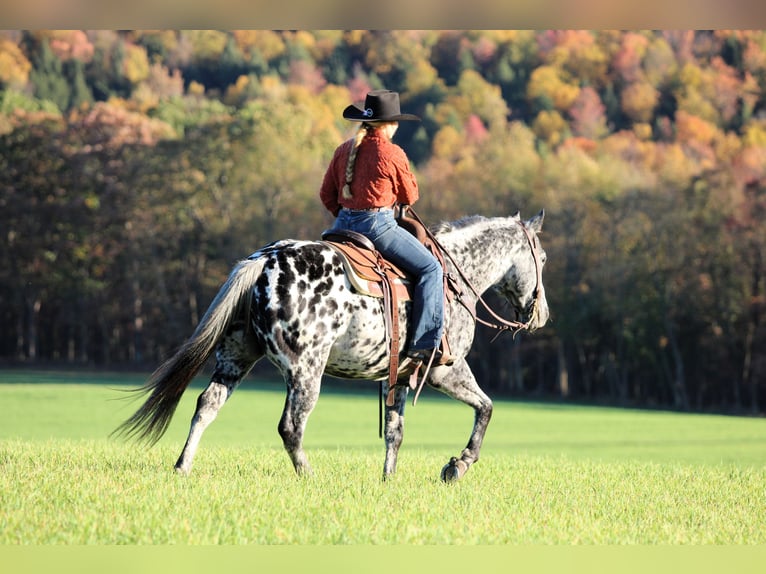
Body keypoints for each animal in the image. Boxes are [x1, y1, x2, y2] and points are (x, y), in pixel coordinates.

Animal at [114, 210, 549, 482]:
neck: (455, 276)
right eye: (542, 258)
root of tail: (264, 260)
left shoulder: (396, 377)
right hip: (306, 371)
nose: (540, 314)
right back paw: (308, 475)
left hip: (236, 358)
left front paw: (389, 479)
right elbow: (486, 408)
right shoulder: (446, 370)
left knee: (206, 405)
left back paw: (182, 466)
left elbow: (395, 432)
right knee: (291, 426)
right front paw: (458, 465)